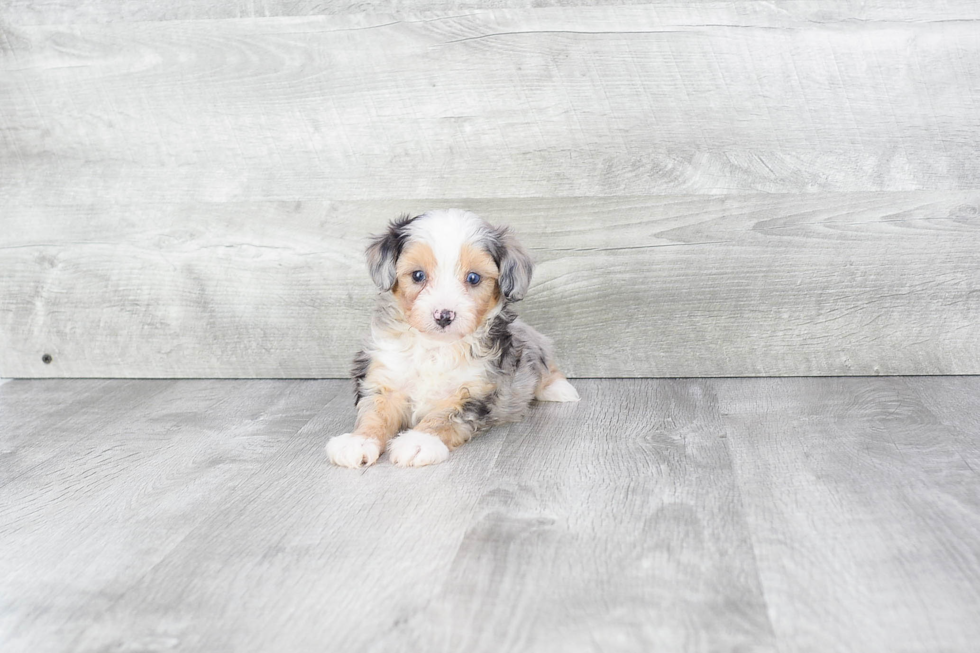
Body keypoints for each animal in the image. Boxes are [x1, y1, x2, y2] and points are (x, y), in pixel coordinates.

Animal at [326, 206, 580, 466]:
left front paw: (418, 442)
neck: (435, 347)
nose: (444, 315)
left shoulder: (474, 390)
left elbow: (444, 416)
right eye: (417, 275)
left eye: (474, 278)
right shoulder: (386, 378)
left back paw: (559, 389)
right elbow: (374, 412)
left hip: (531, 342)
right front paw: (358, 441)